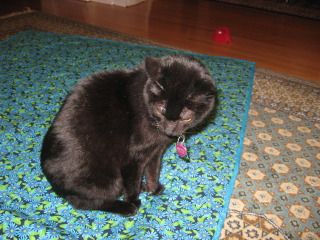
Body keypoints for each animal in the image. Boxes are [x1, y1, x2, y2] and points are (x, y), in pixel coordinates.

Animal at [40, 54, 218, 216]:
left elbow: (153, 171)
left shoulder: (156, 151)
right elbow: (133, 181)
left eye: (185, 117)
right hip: (109, 179)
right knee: (83, 202)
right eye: (161, 109)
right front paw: (134, 200)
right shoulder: (133, 156)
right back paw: (125, 207)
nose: (169, 130)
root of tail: (53, 182)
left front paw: (153, 189)